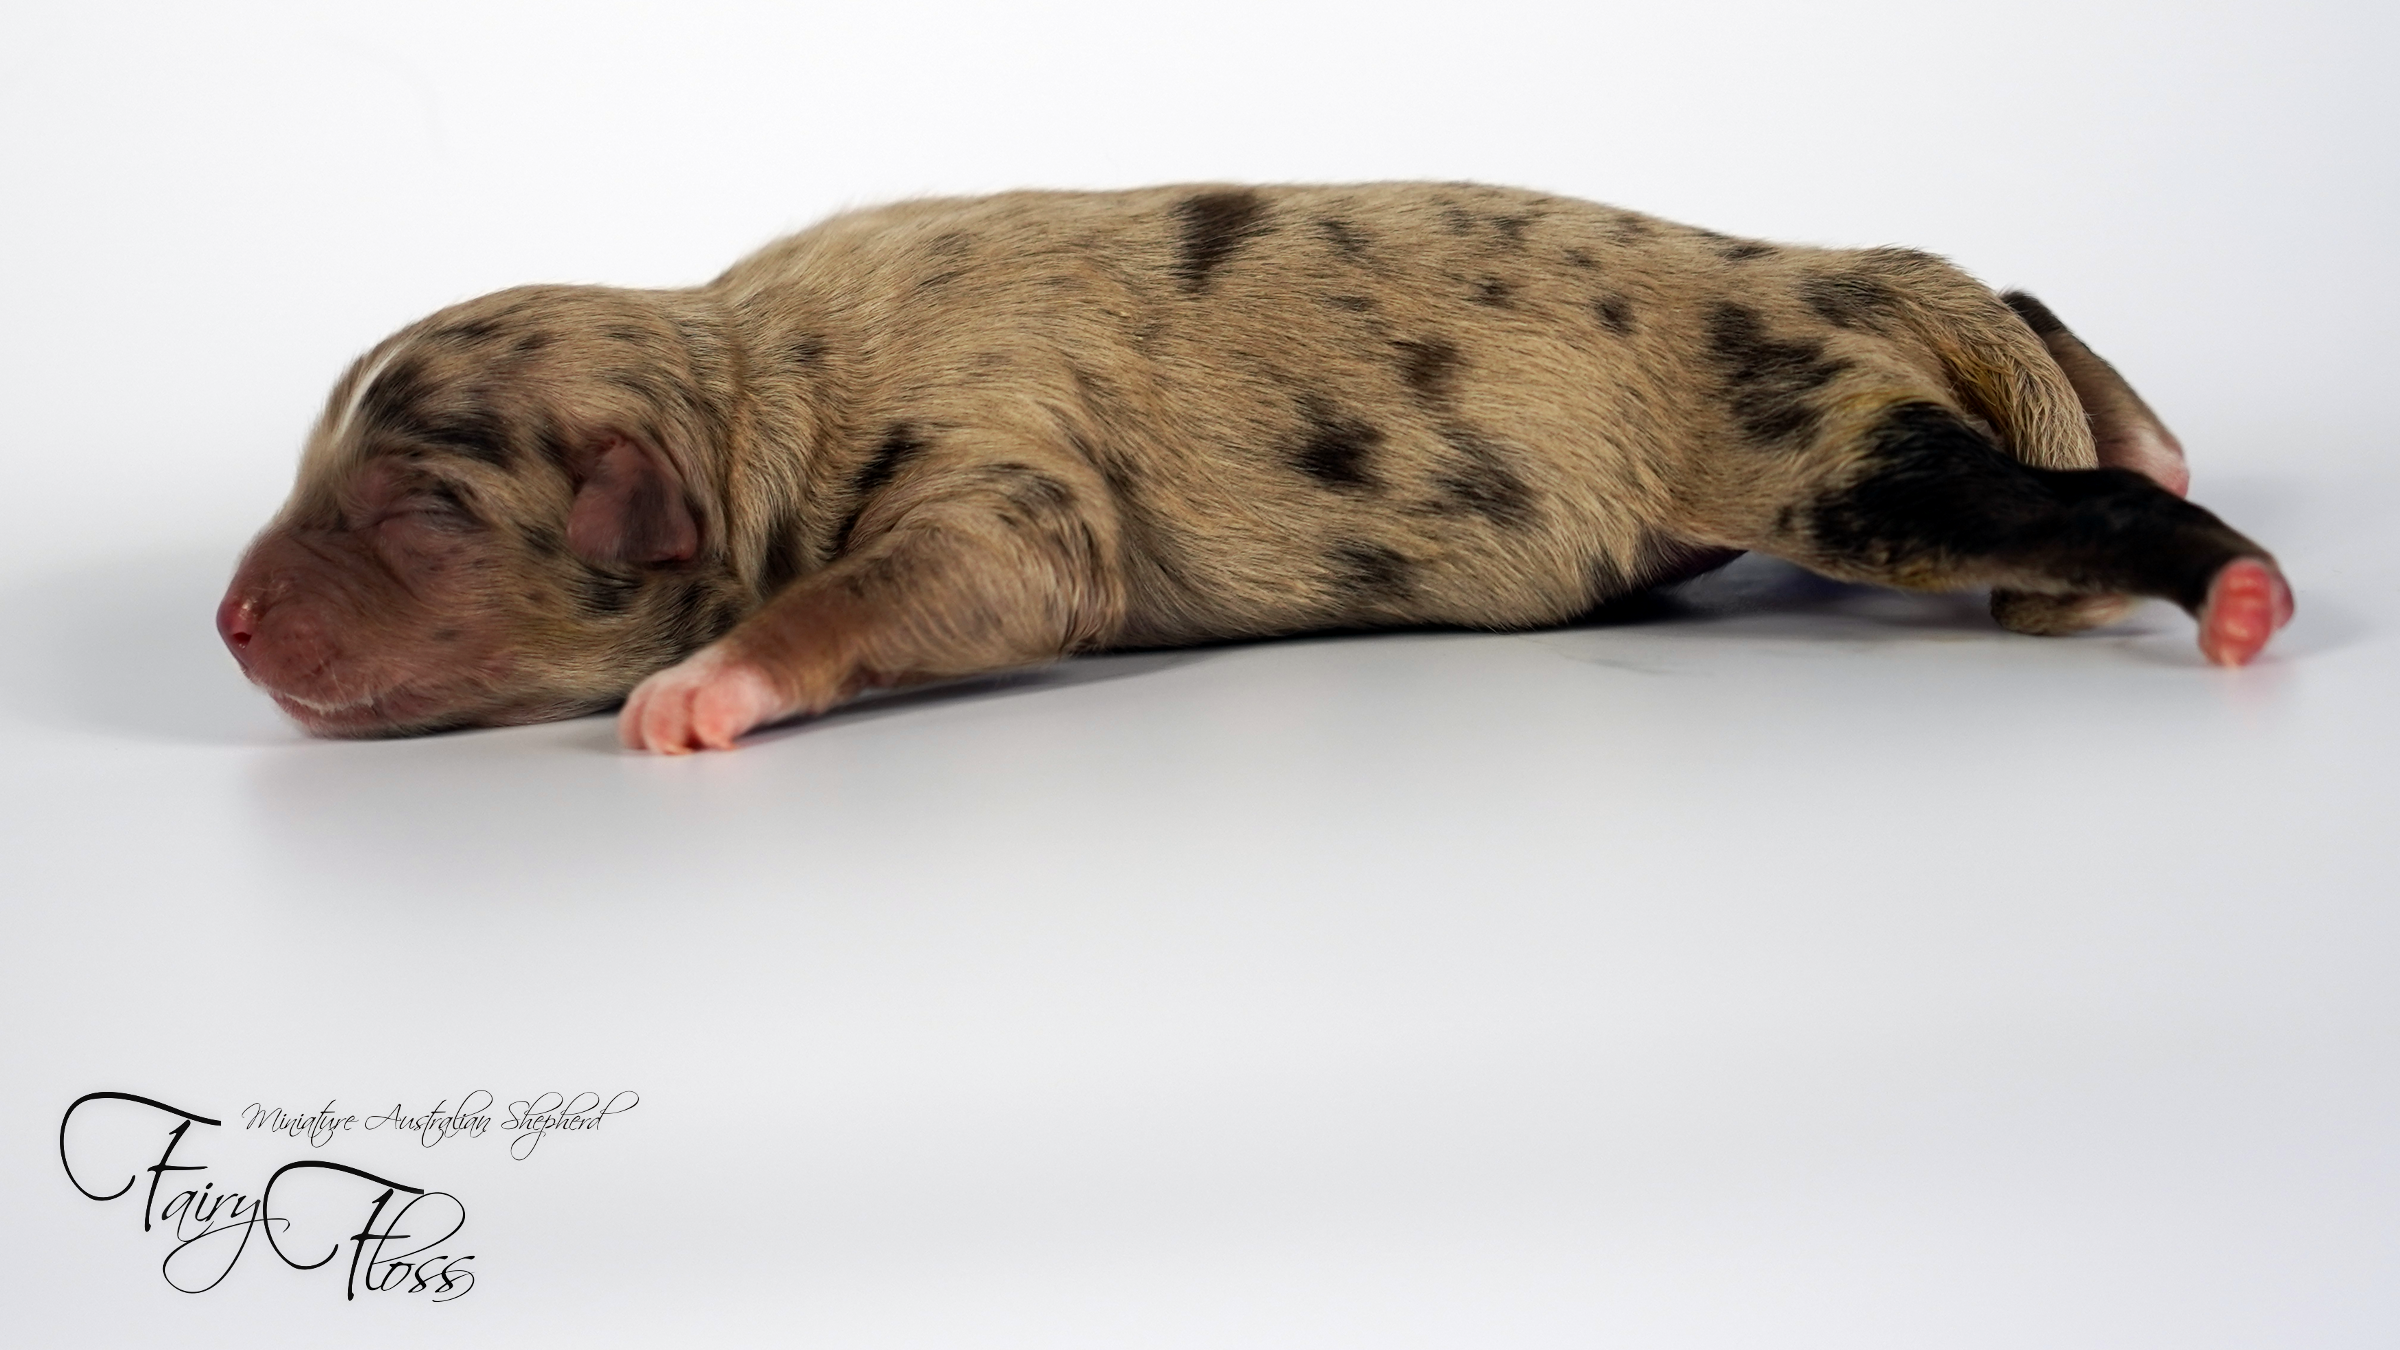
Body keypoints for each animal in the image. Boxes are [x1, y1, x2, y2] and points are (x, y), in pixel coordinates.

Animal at [216, 182, 2290, 753]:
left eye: (419, 510)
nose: (228, 622)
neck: (752, 388)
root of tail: (1834, 272)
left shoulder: (1006, 476)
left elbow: (919, 579)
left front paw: (702, 687)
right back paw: (2139, 412)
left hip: (1816, 444)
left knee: (2066, 504)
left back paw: (2231, 582)